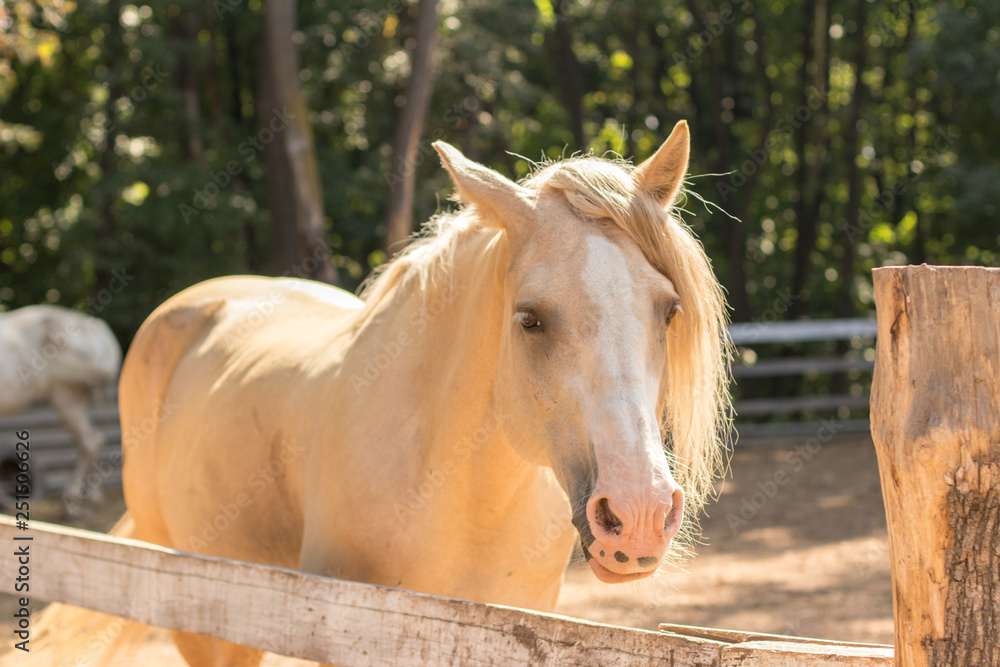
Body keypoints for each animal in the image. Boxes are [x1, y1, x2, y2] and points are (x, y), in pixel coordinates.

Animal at [0, 304, 121, 516]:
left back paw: (71, 502)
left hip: (66, 397)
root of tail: (98, 327)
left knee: (89, 442)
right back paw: (92, 498)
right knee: (93, 440)